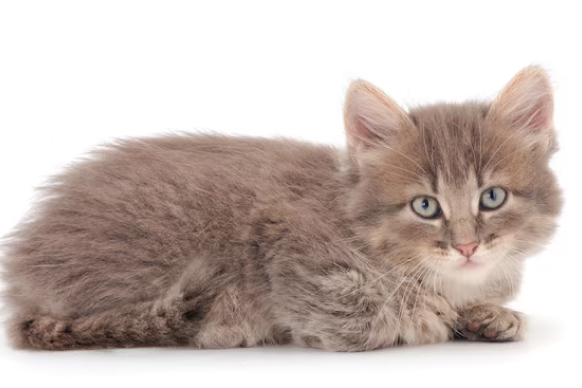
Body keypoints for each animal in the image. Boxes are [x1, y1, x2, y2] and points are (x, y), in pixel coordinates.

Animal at [1, 66, 564, 352]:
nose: (467, 245)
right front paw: (432, 313)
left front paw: (493, 315)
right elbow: (370, 313)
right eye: (425, 206)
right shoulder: (286, 245)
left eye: (492, 197)